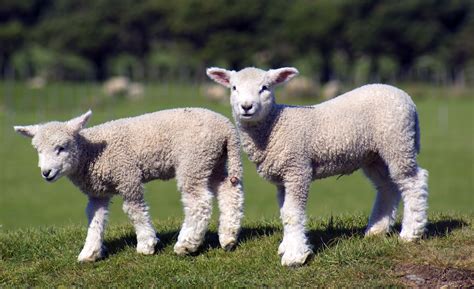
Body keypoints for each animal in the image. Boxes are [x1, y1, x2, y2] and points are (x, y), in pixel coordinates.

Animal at [13, 108, 244, 260]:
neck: (91, 154)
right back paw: (228, 237)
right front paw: (89, 252)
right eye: (38, 150)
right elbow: (95, 218)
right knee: (230, 191)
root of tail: (227, 128)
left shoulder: (127, 176)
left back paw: (187, 244)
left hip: (194, 160)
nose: (46, 173)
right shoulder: (97, 193)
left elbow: (134, 210)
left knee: (199, 202)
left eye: (61, 147)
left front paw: (146, 244)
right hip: (214, 160)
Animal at [207, 66, 430, 266]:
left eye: (265, 87)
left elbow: (293, 213)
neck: (274, 126)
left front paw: (295, 256)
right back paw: (377, 230)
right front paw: (286, 246)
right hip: (374, 155)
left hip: (398, 142)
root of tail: (407, 98)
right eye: (234, 87)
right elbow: (285, 213)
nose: (246, 107)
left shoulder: (297, 169)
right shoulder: (282, 178)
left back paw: (411, 233)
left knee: (413, 182)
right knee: (387, 186)